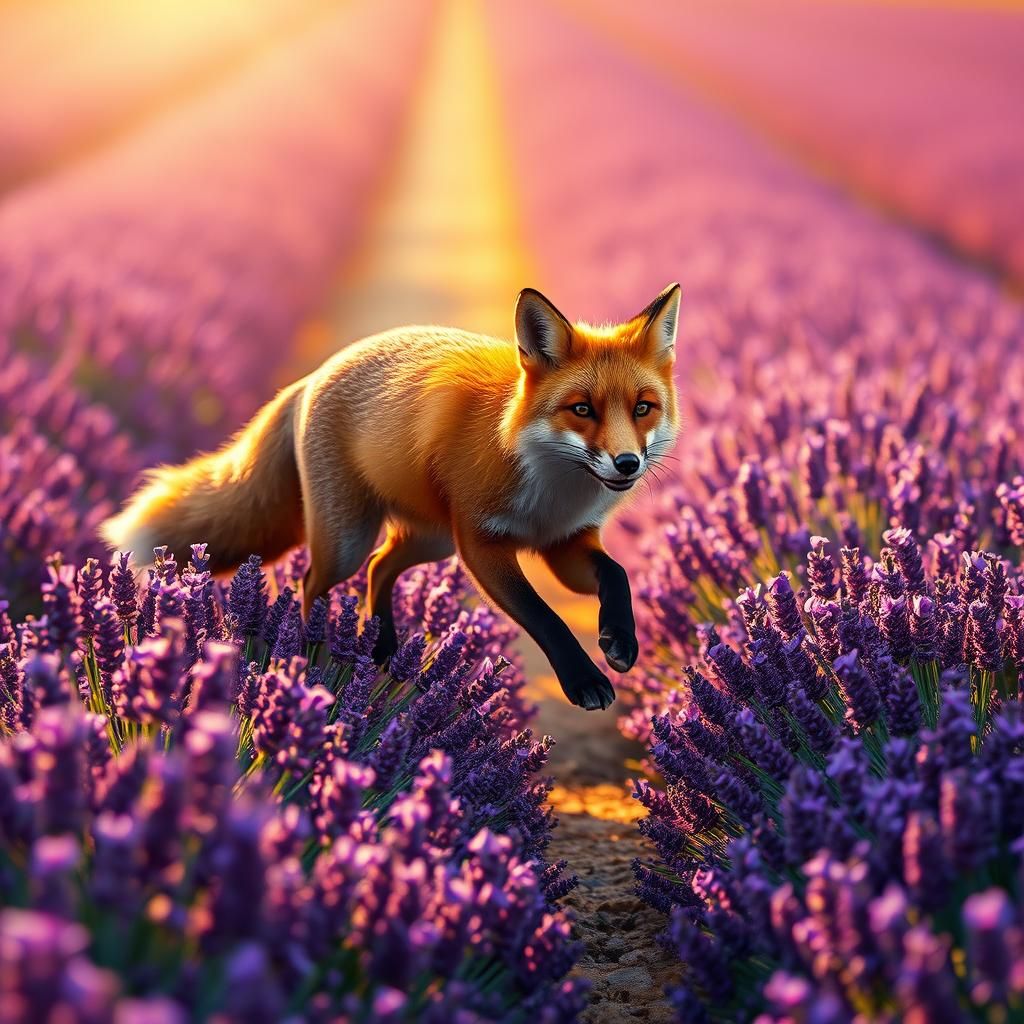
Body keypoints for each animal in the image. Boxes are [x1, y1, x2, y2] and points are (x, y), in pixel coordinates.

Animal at [101, 283, 681, 710]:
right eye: (582, 409)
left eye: (643, 408)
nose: (627, 464)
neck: (552, 484)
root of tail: (314, 376)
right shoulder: (482, 545)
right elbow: (546, 617)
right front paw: (584, 680)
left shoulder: (564, 542)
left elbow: (616, 575)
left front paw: (621, 640)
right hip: (351, 541)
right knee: (315, 581)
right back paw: (308, 657)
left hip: (430, 540)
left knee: (381, 566)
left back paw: (379, 648)